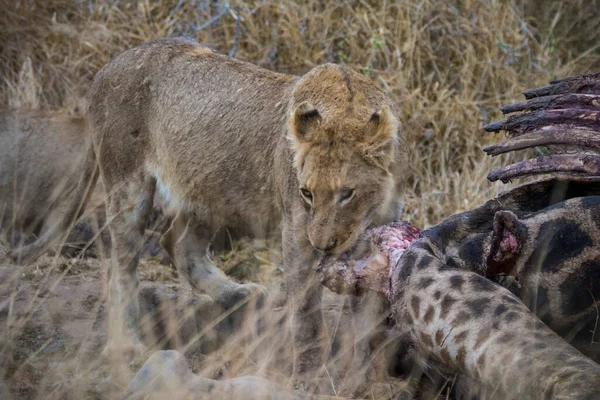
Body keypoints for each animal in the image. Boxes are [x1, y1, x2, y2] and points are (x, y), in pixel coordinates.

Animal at [15, 37, 408, 388]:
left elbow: (368, 316)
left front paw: (364, 374)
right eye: (307, 193)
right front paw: (310, 376)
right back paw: (129, 345)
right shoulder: (297, 229)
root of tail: (104, 70)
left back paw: (241, 295)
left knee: (177, 244)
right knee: (122, 267)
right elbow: (307, 312)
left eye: (347, 193)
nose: (324, 245)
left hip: (208, 191)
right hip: (126, 183)